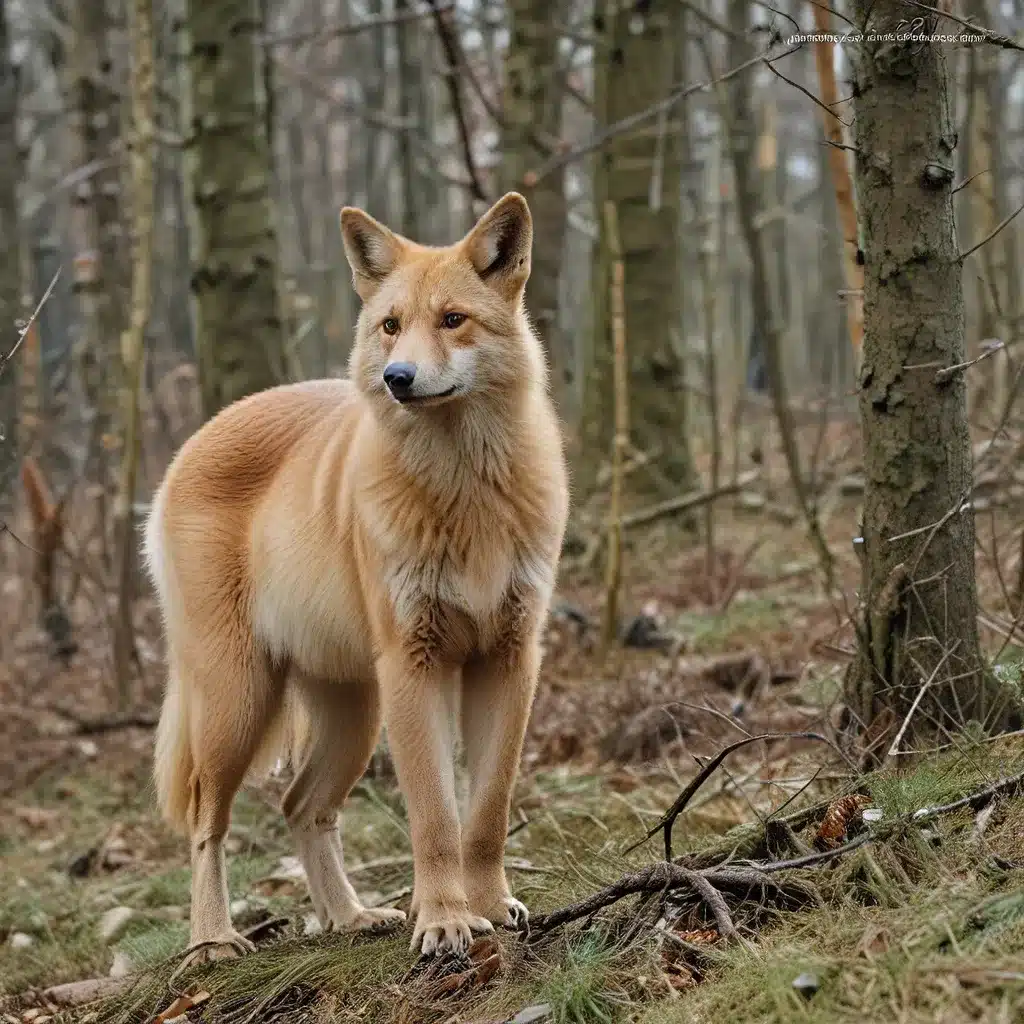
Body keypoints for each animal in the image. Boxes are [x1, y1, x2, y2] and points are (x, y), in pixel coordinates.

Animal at [146, 192, 569, 958]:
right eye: (391, 326)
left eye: (453, 320)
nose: (398, 379)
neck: (464, 494)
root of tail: (188, 447)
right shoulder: (414, 665)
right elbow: (434, 816)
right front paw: (444, 922)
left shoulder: (510, 659)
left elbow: (487, 810)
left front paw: (490, 907)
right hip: (239, 700)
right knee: (204, 819)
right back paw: (214, 941)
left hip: (354, 710)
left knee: (301, 806)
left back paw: (349, 918)